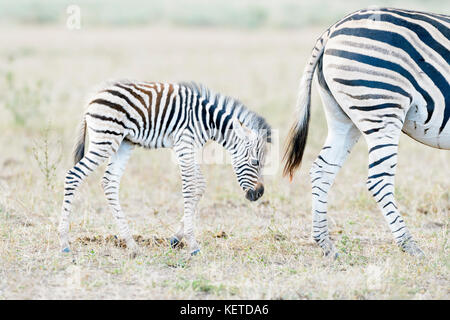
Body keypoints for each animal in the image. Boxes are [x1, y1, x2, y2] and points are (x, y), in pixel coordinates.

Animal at [59, 80, 270, 258]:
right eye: (255, 162)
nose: (259, 193)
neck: (206, 120)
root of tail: (94, 98)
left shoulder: (186, 147)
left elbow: (200, 185)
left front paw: (176, 238)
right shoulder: (184, 144)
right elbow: (190, 188)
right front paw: (193, 245)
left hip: (123, 143)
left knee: (109, 182)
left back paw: (131, 245)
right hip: (106, 139)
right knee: (73, 175)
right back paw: (64, 243)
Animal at [284, 7, 450, 258]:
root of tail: (331, 30)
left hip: (343, 118)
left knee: (322, 169)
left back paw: (325, 243)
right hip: (382, 107)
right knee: (379, 179)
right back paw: (409, 244)